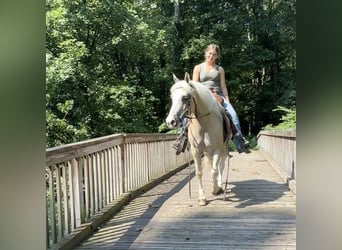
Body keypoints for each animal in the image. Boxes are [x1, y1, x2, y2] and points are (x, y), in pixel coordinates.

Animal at [166, 72, 232, 205]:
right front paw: (202, 198)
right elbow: (199, 172)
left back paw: (219, 185)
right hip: (208, 152)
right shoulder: (196, 150)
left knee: (220, 166)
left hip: (223, 149)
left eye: (185, 97)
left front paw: (216, 189)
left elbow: (214, 170)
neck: (204, 123)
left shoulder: (217, 150)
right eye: (172, 97)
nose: (171, 122)